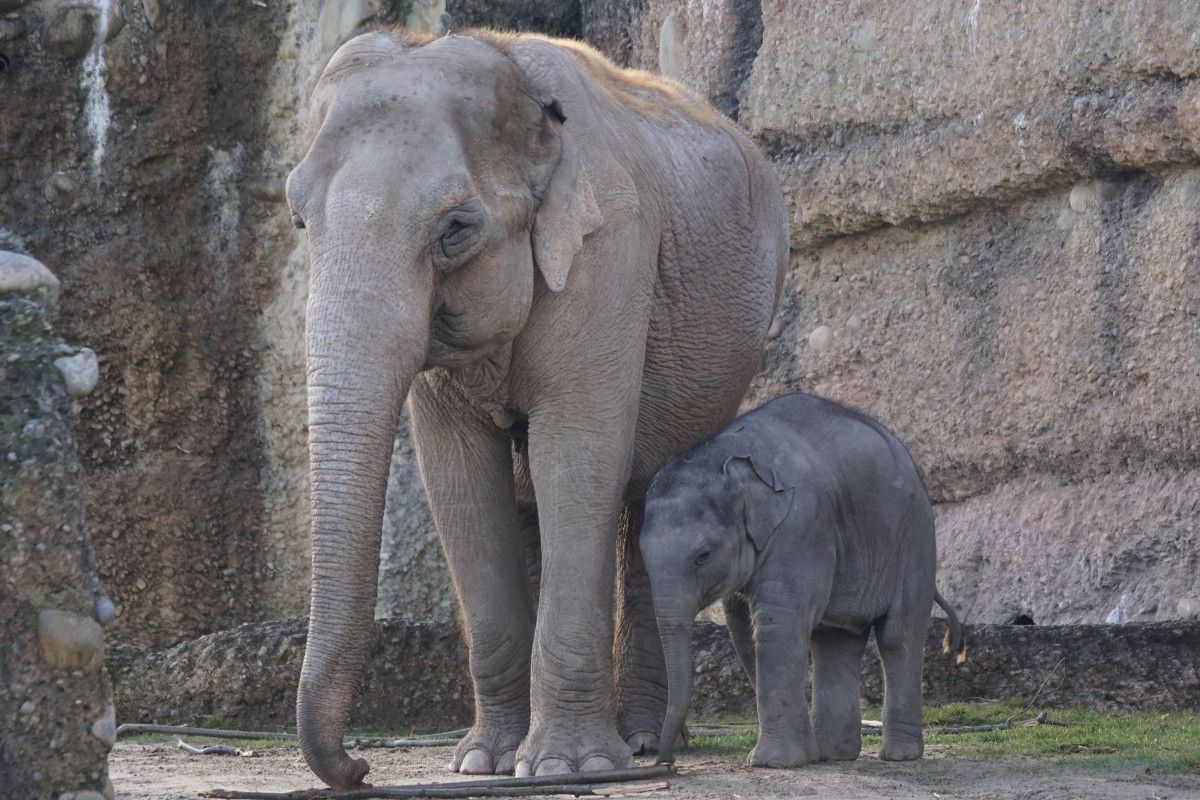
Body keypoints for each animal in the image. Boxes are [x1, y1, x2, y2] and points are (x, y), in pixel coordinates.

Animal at [283, 26, 787, 786]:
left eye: (455, 229)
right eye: (299, 218)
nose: (360, 765)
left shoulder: (611, 253)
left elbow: (574, 456)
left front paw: (565, 767)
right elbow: (460, 480)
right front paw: (482, 764)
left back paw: (639, 744)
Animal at [643, 393, 960, 767]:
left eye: (703, 555)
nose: (664, 761)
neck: (728, 453)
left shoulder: (800, 524)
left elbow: (777, 621)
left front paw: (773, 762)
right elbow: (744, 630)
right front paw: (802, 755)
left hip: (915, 539)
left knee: (898, 635)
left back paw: (898, 755)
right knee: (836, 641)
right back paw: (833, 754)